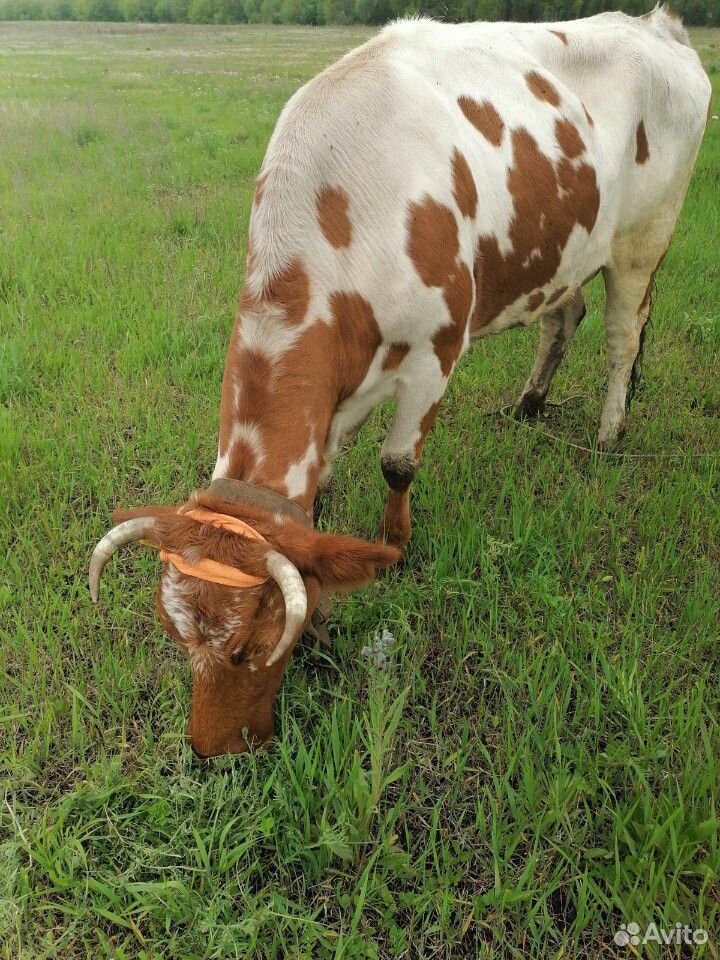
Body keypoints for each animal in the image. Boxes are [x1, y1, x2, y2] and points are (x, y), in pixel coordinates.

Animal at [88, 5, 708, 756]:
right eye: (174, 633)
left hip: (644, 240)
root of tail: (654, 22)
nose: (210, 749)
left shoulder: (434, 356)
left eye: (251, 645)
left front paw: (398, 545)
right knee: (565, 316)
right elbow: (321, 486)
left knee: (623, 337)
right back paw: (530, 403)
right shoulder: (340, 395)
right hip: (563, 251)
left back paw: (610, 431)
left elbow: (398, 462)